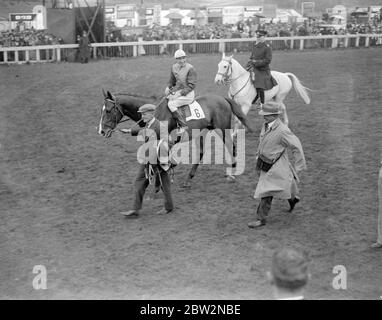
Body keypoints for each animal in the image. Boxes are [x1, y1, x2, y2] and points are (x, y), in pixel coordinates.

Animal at [99, 89, 254, 188]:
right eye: (102, 110)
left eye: (108, 111)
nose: (102, 130)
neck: (155, 112)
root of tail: (222, 98)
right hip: (202, 132)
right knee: (201, 152)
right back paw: (189, 178)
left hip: (223, 129)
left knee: (231, 145)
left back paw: (232, 171)